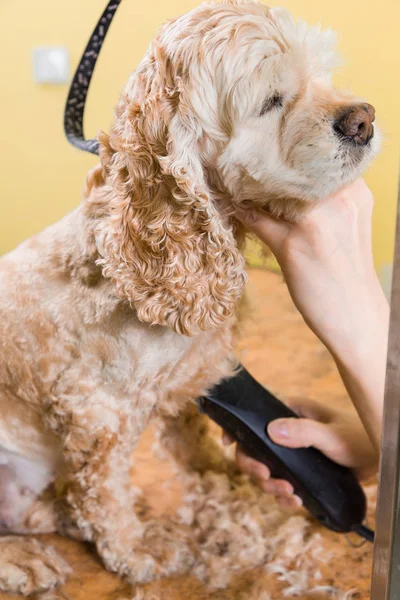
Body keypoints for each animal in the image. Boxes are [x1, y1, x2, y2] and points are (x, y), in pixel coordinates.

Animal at [0, 1, 378, 596]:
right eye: (270, 101)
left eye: (321, 76)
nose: (364, 120)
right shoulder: (96, 412)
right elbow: (104, 493)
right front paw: (136, 551)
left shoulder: (199, 379)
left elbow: (194, 442)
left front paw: (230, 478)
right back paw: (27, 561)